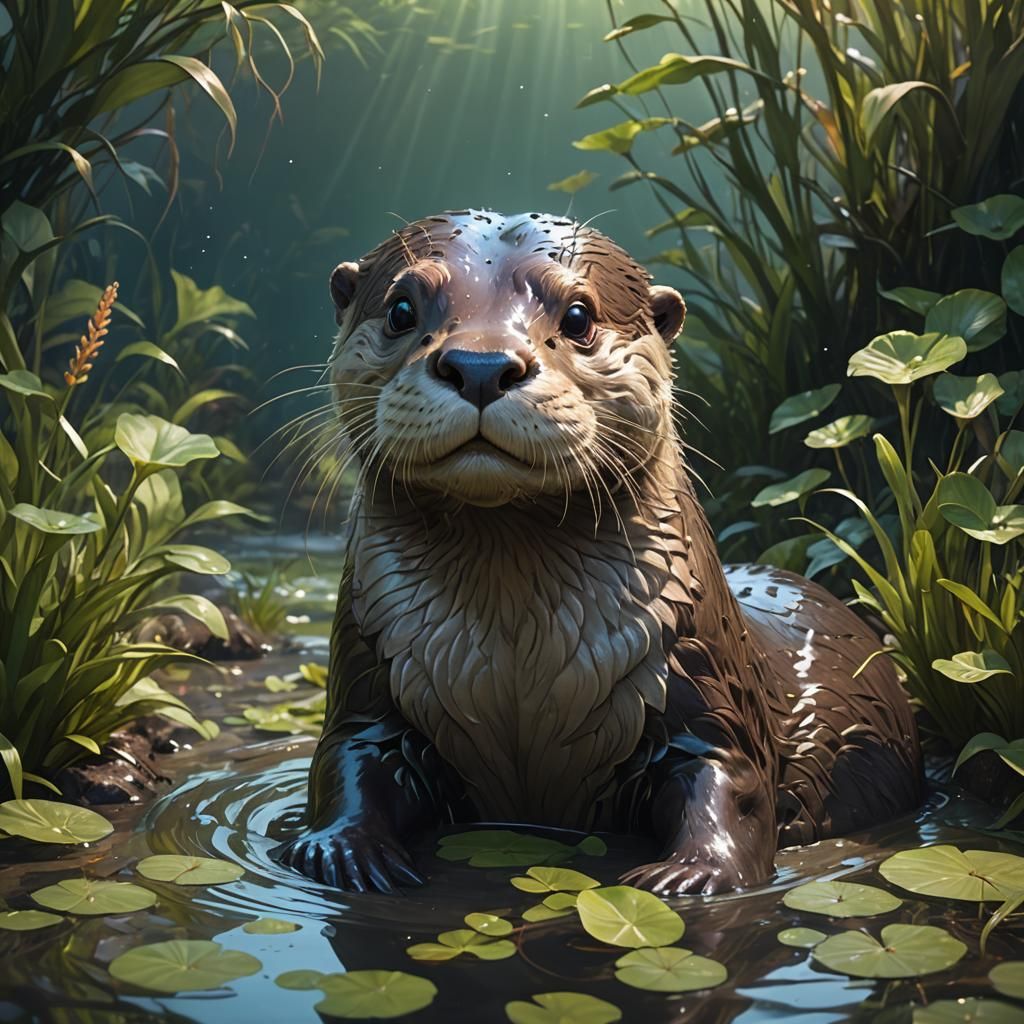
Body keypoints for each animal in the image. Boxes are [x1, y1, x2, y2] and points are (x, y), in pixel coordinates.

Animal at [275, 210, 922, 895]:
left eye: (579, 316)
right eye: (401, 308)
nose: (480, 364)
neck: (517, 670)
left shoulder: (704, 673)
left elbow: (733, 779)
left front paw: (692, 874)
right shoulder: (365, 675)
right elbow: (345, 759)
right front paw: (341, 850)